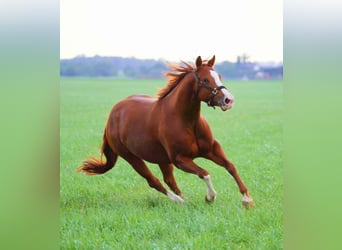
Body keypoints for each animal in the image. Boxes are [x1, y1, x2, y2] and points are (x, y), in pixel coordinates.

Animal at [77, 55, 254, 208]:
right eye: (205, 79)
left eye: (219, 76)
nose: (228, 100)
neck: (187, 121)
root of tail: (112, 116)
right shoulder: (180, 159)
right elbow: (205, 173)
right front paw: (210, 197)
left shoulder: (211, 149)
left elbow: (230, 166)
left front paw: (247, 199)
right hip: (132, 158)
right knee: (153, 181)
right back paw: (179, 201)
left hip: (161, 159)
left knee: (169, 179)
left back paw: (183, 199)